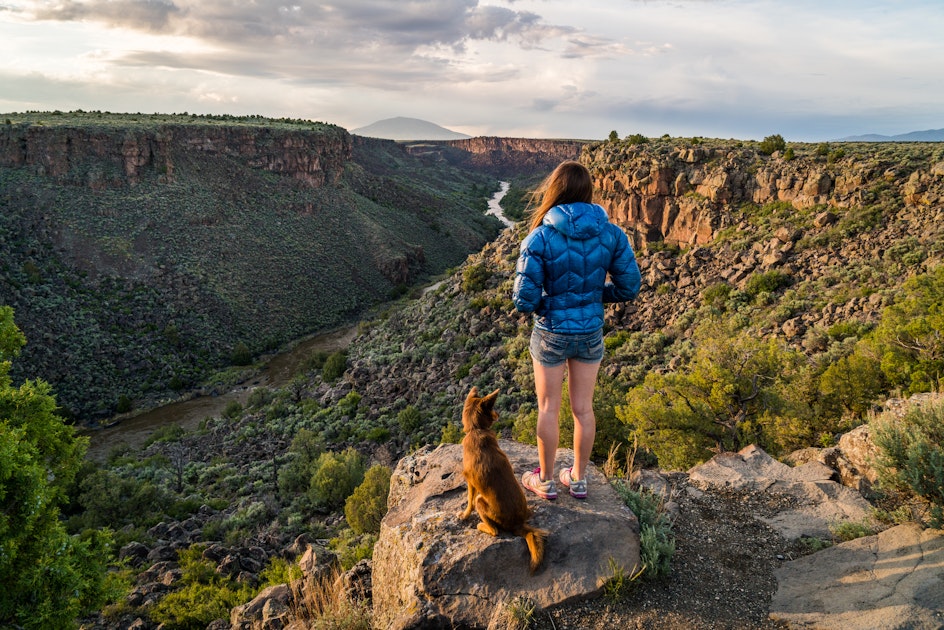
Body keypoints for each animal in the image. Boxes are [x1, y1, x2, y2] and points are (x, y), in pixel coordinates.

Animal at [458, 388, 544, 576]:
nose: (498, 414)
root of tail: (517, 524)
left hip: (482, 501)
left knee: (495, 531)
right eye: (492, 409)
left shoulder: (470, 482)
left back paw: (481, 525)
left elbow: (469, 501)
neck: (476, 429)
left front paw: (464, 514)